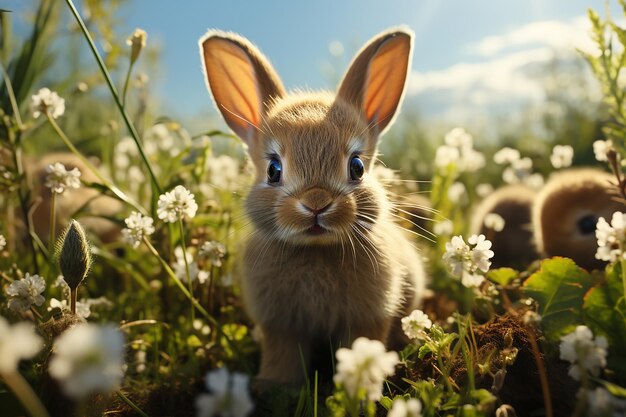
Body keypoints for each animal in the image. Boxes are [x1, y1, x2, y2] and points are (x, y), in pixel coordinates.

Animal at [200, 26, 424, 384]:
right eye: (273, 170)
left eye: (357, 167)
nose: (316, 204)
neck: (316, 249)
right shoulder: (280, 325)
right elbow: (283, 355)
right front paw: (275, 385)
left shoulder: (367, 319)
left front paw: (362, 385)